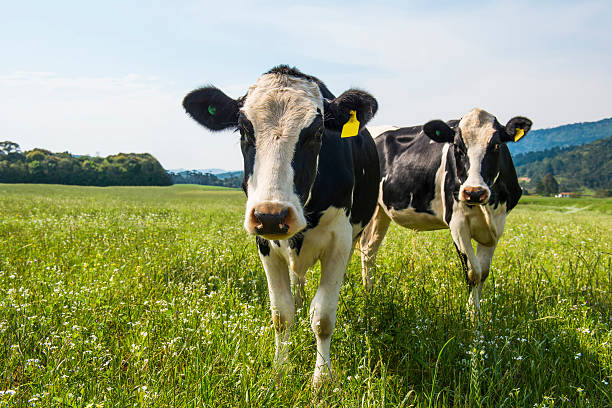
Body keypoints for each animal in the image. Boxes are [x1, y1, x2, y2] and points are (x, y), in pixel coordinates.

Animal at [182, 66, 380, 386]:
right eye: (244, 130)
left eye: (317, 132)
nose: (272, 215)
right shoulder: (265, 243)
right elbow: (281, 314)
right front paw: (280, 371)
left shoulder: (339, 239)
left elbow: (323, 317)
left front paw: (322, 379)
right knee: (297, 280)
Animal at [360, 107, 528, 312]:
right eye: (457, 147)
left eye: (496, 146)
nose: (474, 192)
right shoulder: (457, 223)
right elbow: (473, 272)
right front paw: (472, 316)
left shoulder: (497, 225)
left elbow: (484, 272)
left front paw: (478, 314)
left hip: (381, 212)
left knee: (368, 249)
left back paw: (369, 294)